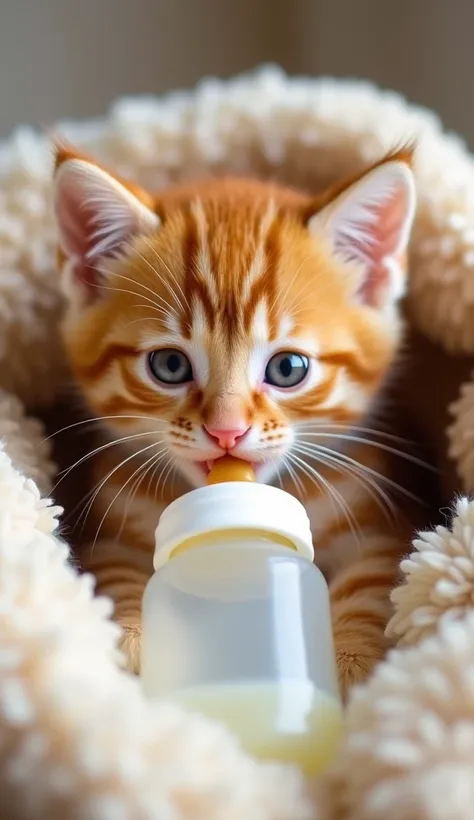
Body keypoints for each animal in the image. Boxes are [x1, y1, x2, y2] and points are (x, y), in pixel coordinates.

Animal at [53, 144, 420, 696]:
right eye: (169, 365)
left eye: (288, 369)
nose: (227, 430)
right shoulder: (108, 535)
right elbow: (116, 576)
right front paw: (136, 639)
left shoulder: (380, 530)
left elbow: (376, 582)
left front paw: (351, 661)